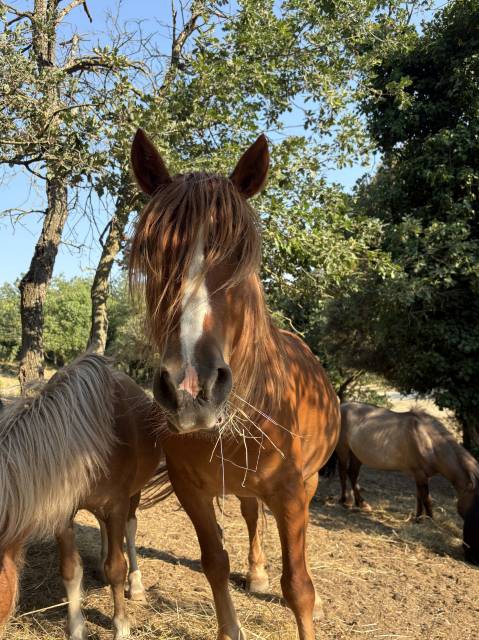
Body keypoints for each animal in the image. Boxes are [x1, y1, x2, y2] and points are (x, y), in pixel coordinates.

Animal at [0, 353, 172, 640]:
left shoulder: (117, 505)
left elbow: (117, 568)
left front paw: (121, 626)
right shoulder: (62, 511)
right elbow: (71, 570)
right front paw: (77, 628)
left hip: (133, 495)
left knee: (130, 529)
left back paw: (136, 586)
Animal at [128, 128, 340, 640]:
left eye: (240, 257)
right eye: (152, 254)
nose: (191, 390)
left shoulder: (291, 494)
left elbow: (298, 587)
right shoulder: (191, 490)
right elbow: (215, 563)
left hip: (309, 484)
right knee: (248, 514)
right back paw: (257, 572)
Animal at [335, 402, 479, 564]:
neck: (429, 440)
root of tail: (342, 405)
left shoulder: (420, 476)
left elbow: (420, 497)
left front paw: (418, 518)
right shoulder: (420, 474)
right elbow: (427, 499)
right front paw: (431, 522)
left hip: (357, 454)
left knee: (353, 475)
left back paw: (362, 503)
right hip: (343, 448)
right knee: (343, 472)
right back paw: (345, 501)